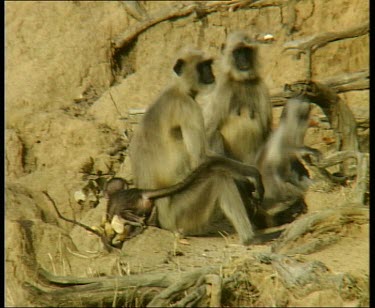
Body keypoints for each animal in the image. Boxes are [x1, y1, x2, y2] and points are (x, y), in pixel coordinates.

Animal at [131, 48, 266, 245]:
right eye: (203, 67)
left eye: (208, 65)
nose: (211, 73)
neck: (178, 89)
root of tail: (162, 221)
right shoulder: (189, 108)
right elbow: (201, 158)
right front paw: (251, 174)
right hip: (181, 215)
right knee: (220, 177)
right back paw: (250, 238)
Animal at [204, 31, 272, 165]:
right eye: (238, 52)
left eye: (247, 51)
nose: (244, 60)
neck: (241, 81)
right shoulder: (221, 88)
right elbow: (207, 131)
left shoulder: (261, 88)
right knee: (214, 135)